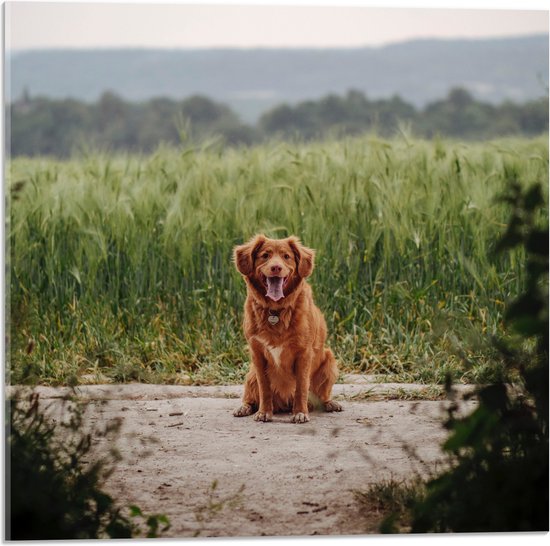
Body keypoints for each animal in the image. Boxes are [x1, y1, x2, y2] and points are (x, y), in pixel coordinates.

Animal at [232, 233, 340, 420]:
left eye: (286, 256)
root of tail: (283, 405)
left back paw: (329, 403)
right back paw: (244, 407)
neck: (275, 310)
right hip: (251, 374)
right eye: (265, 255)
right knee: (250, 396)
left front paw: (300, 412)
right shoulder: (257, 353)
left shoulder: (304, 353)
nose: (276, 267)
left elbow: (301, 387)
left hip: (329, 361)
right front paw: (264, 412)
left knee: (323, 394)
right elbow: (264, 388)